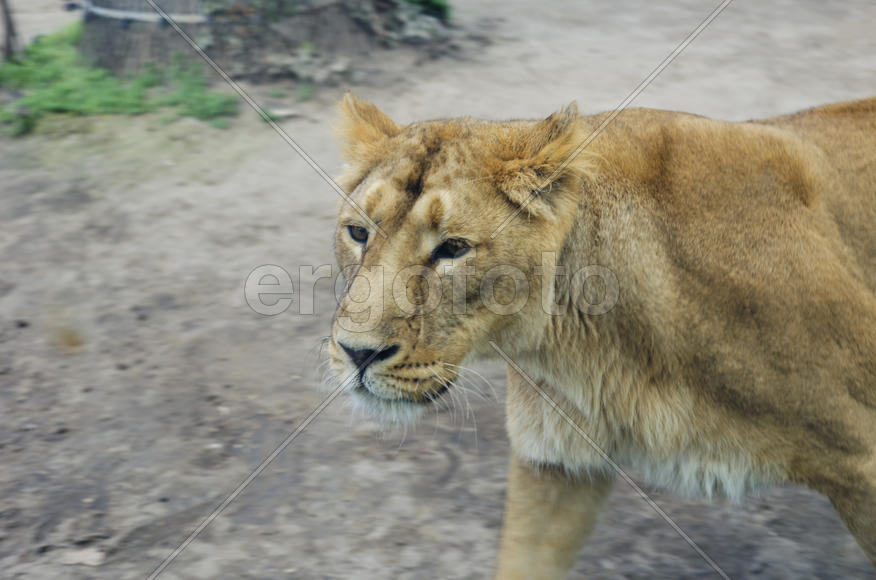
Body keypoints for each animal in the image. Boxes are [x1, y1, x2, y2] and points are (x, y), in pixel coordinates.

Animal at [326, 93, 876, 578]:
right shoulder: (558, 462)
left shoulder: (863, 465)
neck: (583, 344)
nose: (356, 354)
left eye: (454, 248)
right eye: (358, 233)